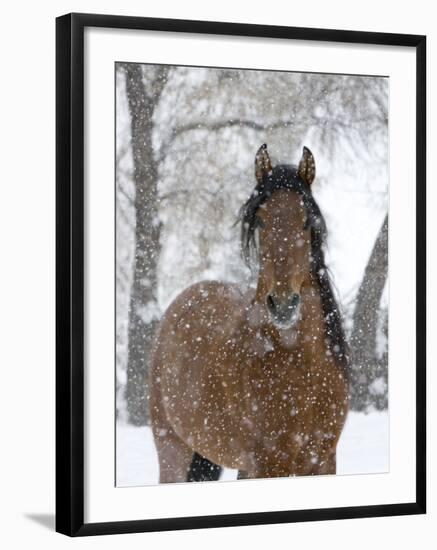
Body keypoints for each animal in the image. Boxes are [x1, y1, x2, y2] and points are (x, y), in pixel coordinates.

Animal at [149, 143, 348, 484]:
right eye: (261, 221)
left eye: (306, 221)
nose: (283, 304)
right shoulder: (269, 465)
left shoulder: (323, 462)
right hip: (173, 450)